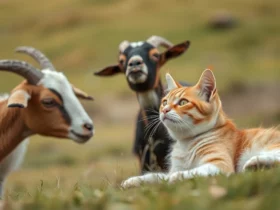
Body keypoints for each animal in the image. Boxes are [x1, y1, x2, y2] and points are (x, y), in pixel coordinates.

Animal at [121, 69, 280, 189]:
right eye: (165, 102)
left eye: (183, 102)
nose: (164, 110)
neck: (186, 143)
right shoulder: (171, 169)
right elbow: (155, 176)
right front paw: (133, 180)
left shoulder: (219, 164)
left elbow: (193, 171)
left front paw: (178, 177)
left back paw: (255, 162)